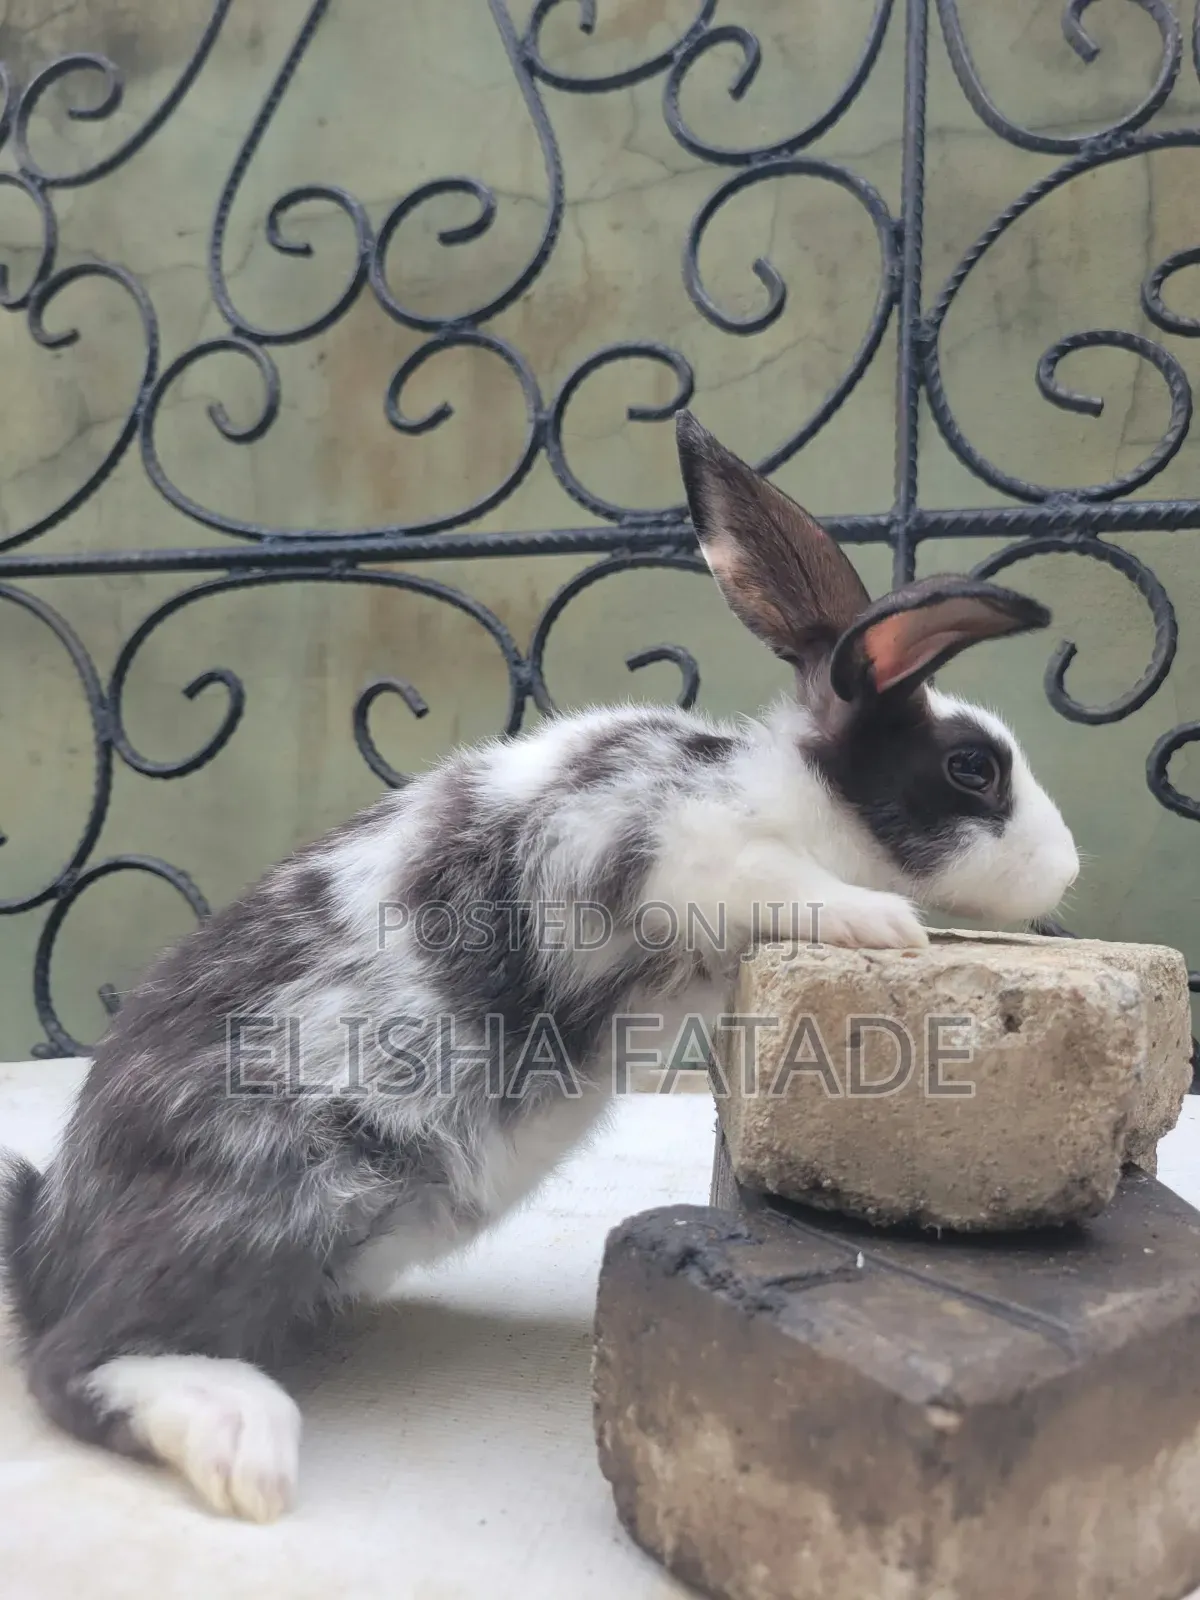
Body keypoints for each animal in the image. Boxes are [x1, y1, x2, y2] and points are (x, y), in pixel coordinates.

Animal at [1, 410, 1079, 1523]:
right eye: (973, 768)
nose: (1068, 866)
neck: (789, 793)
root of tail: (47, 1241)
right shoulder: (690, 855)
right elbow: (789, 882)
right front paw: (885, 923)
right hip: (266, 1210)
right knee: (76, 1362)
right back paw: (244, 1442)